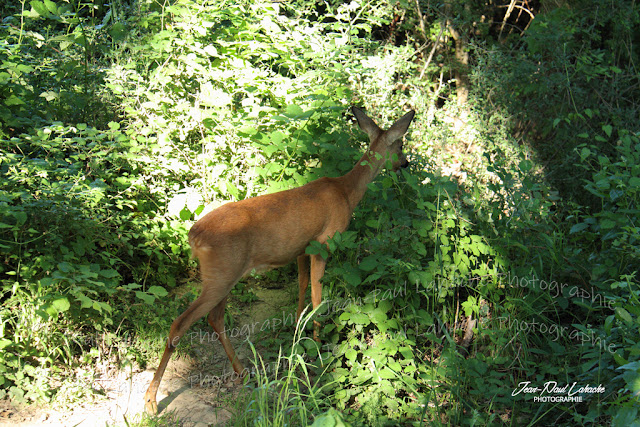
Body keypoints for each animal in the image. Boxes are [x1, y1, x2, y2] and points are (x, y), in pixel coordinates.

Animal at [144, 107, 416, 414]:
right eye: (400, 144)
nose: (405, 163)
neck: (346, 192)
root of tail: (194, 236)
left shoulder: (300, 249)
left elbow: (301, 290)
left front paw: (298, 335)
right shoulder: (324, 243)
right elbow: (318, 298)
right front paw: (318, 349)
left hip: (224, 275)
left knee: (215, 318)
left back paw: (242, 371)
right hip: (222, 274)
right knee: (181, 323)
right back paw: (152, 400)